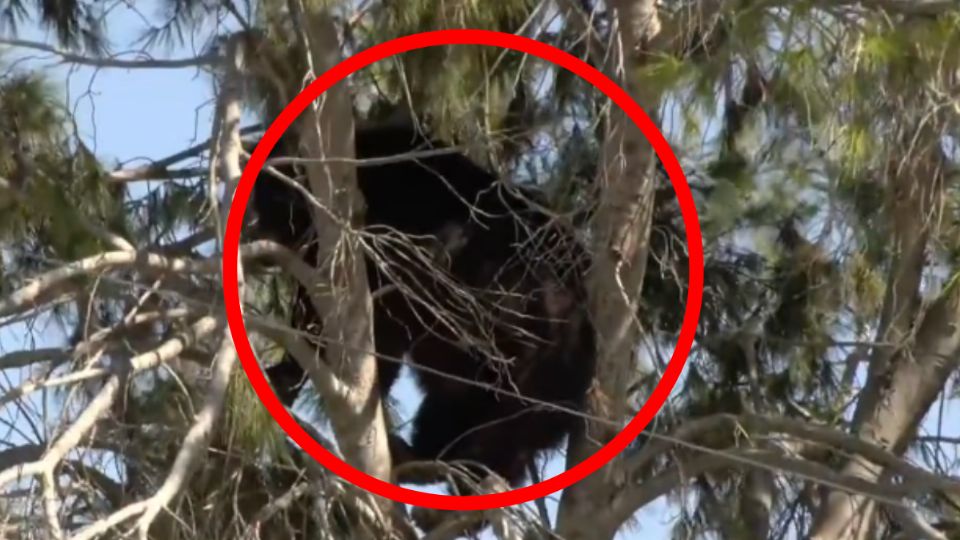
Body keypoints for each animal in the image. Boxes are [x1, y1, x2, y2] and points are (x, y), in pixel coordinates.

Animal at [248, 122, 592, 490]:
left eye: (267, 198)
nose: (249, 232)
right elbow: (315, 312)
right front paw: (287, 371)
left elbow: (378, 320)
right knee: (469, 415)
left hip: (535, 326)